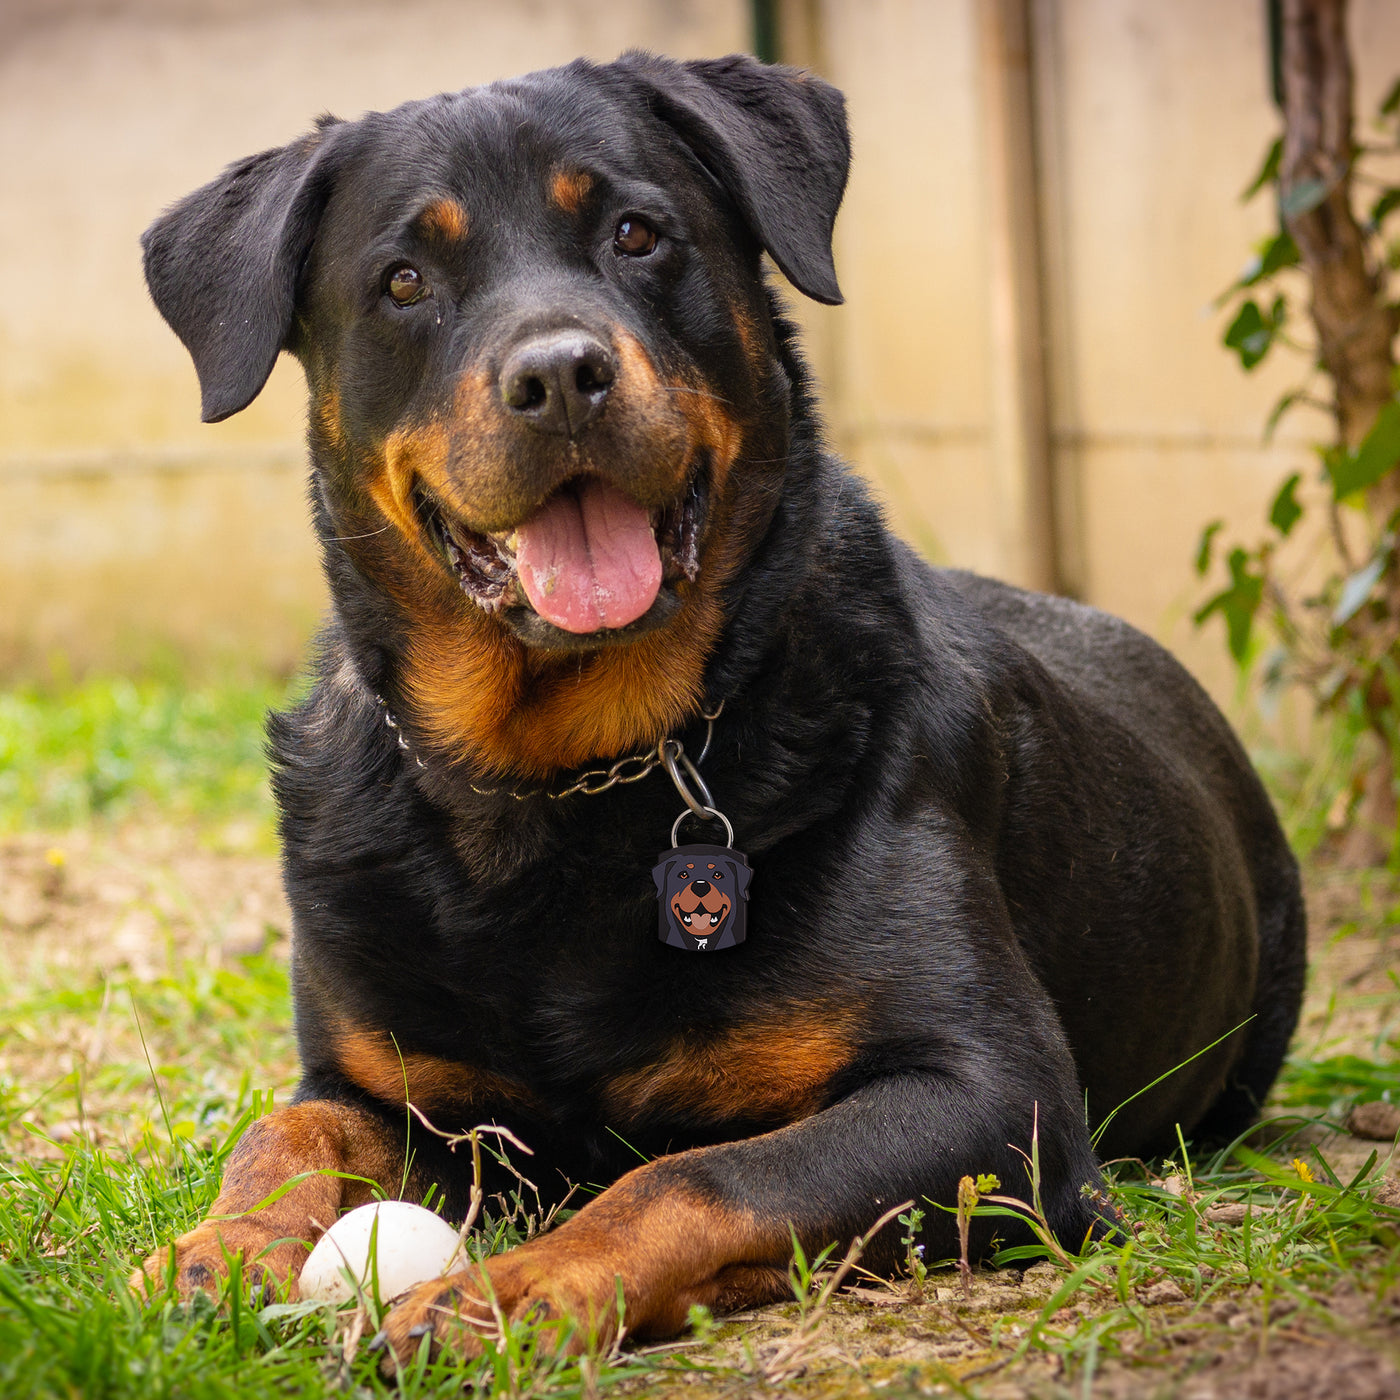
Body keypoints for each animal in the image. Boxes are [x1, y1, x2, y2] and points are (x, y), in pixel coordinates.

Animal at [131, 54, 1299, 1366]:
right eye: (403, 281)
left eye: (637, 233)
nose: (559, 374)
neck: (562, 780)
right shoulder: (390, 1086)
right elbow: (286, 1129)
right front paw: (217, 1249)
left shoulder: (993, 1093)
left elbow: (694, 1174)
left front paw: (514, 1287)